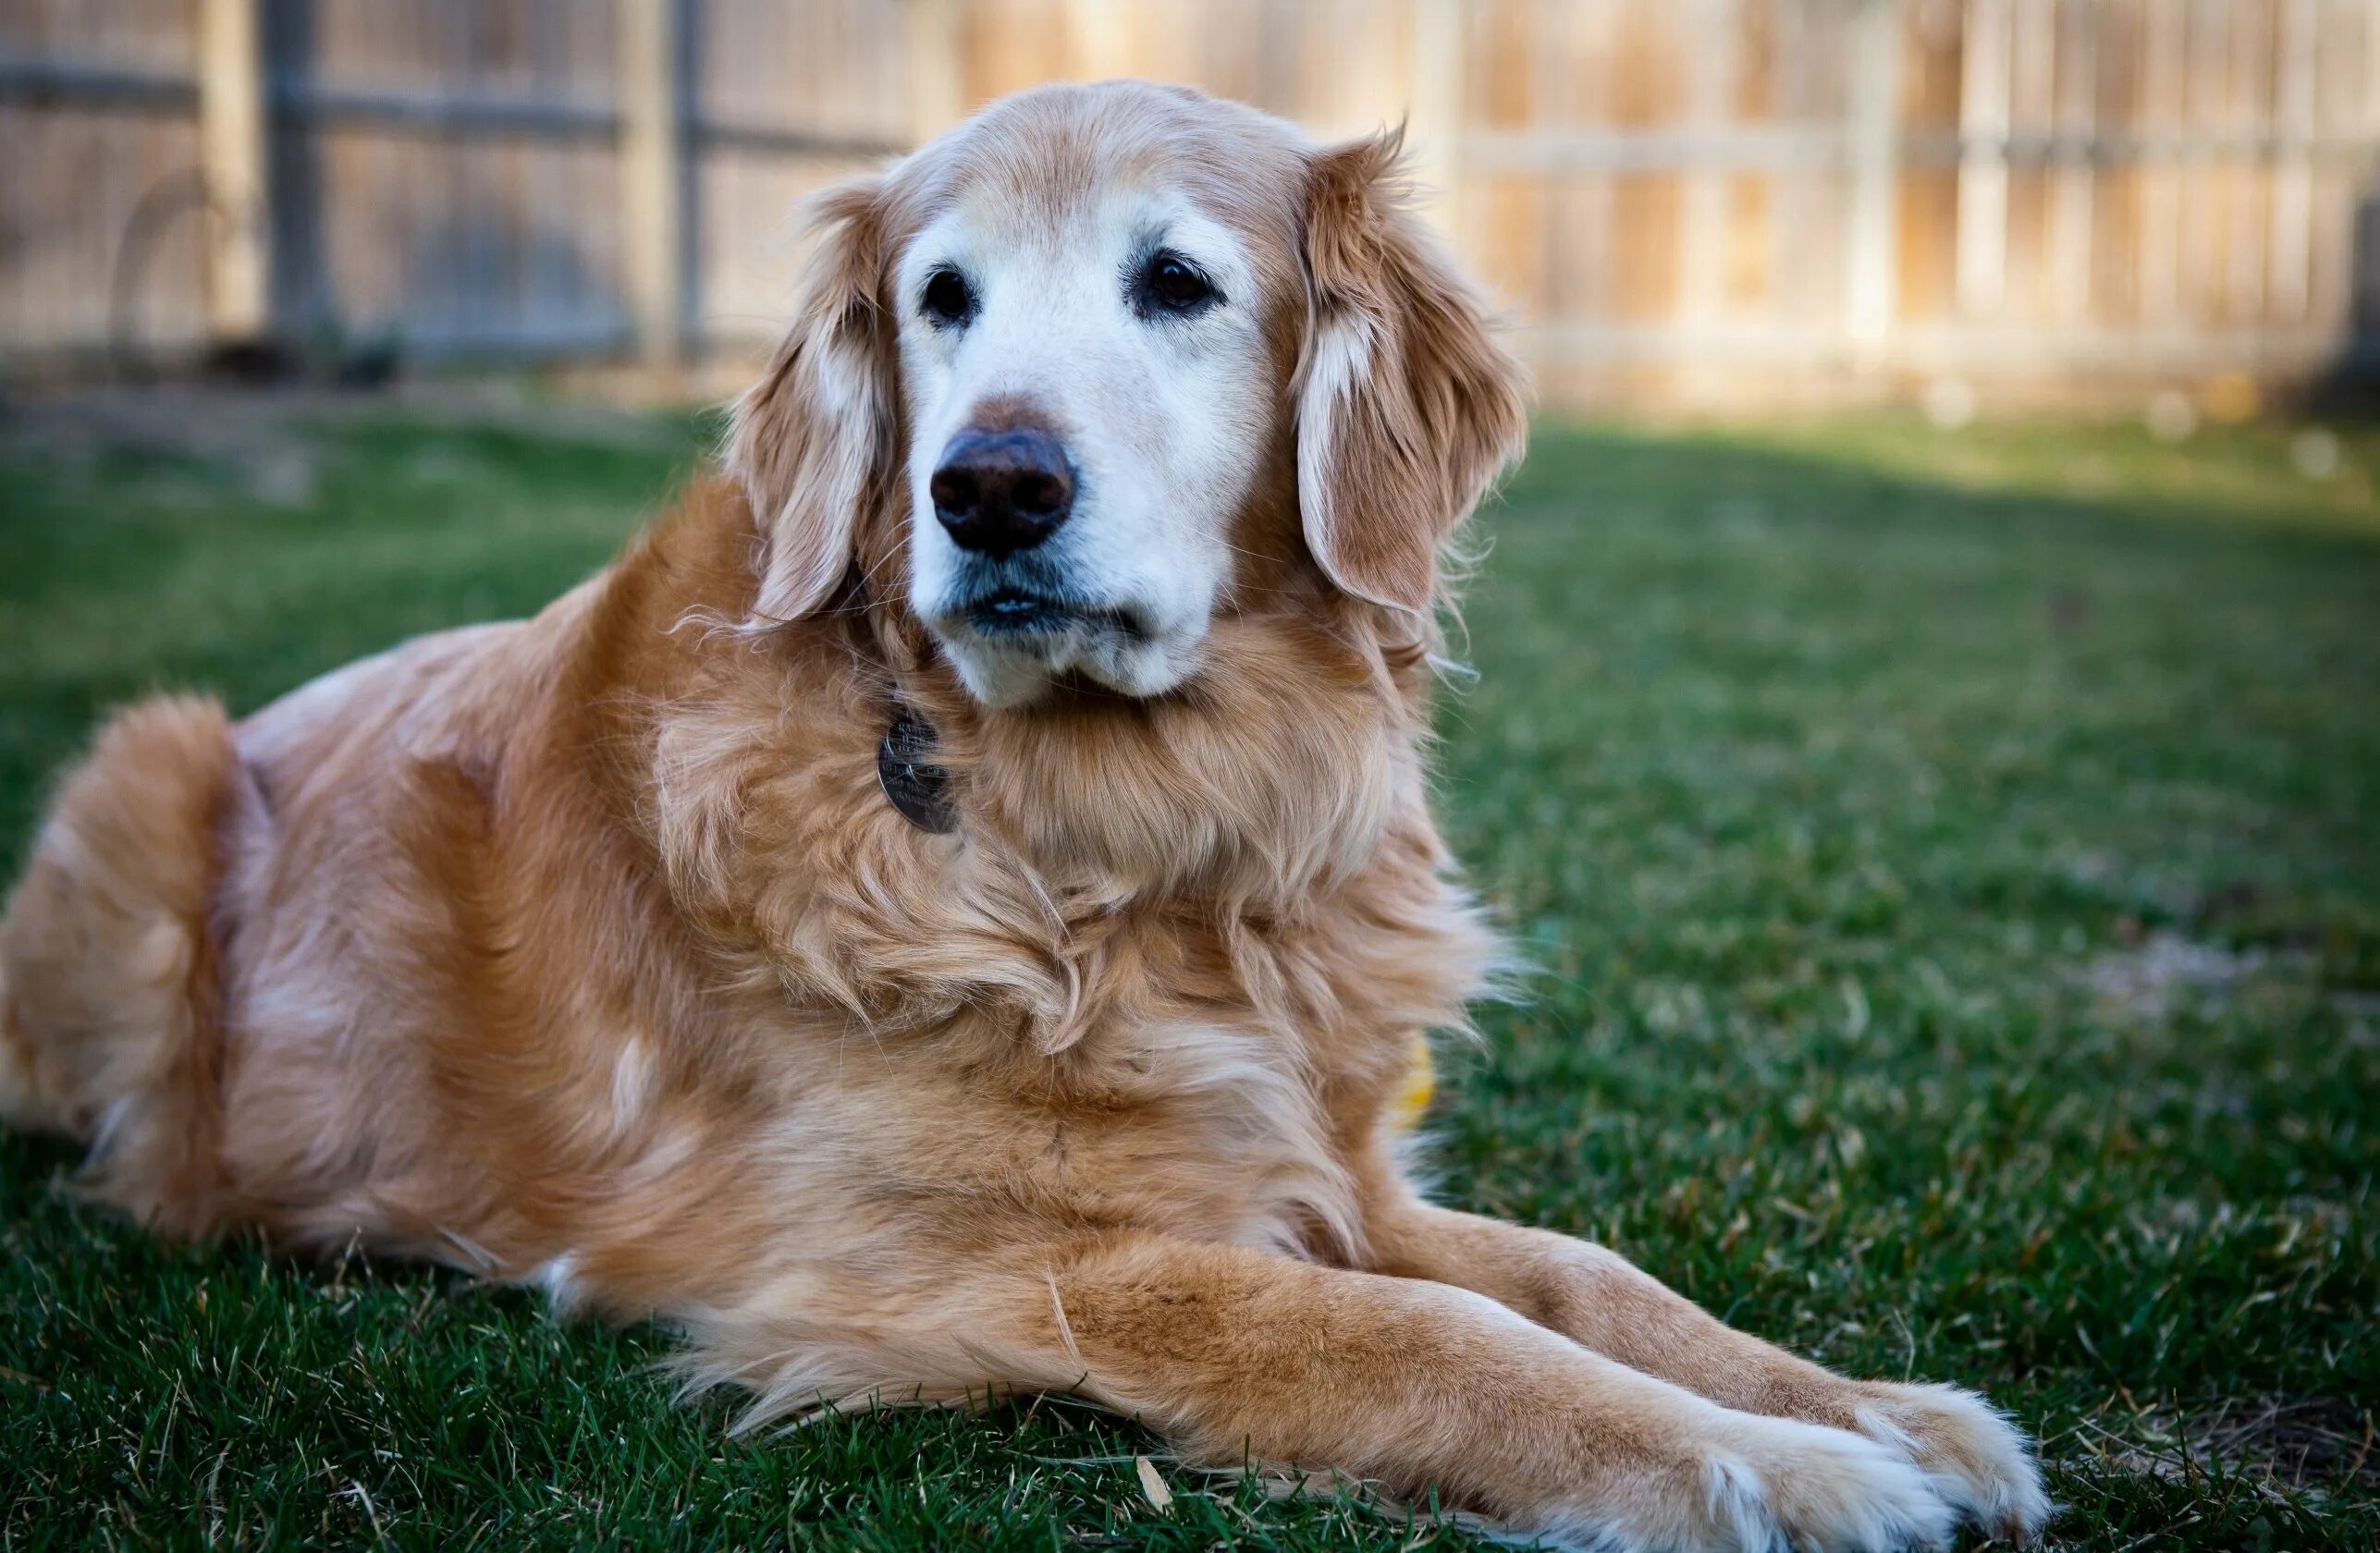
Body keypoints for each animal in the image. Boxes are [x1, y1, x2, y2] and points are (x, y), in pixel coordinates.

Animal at [0, 84, 2046, 1550]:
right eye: (941, 301)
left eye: (1177, 284)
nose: (986, 487)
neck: (1135, 856)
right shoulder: (971, 1272)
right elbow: (1425, 1335)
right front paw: (1781, 1475)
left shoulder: (1324, 1166)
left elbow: (1579, 1275)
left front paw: (1866, 1406)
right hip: (146, 771)